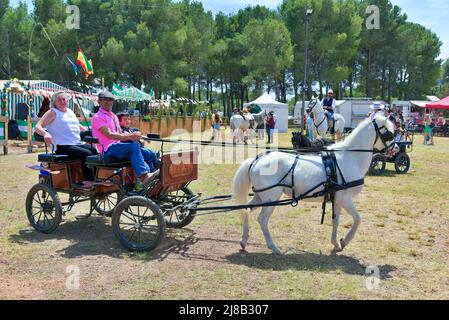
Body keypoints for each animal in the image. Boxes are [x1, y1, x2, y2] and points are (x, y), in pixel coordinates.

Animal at [233, 116, 394, 254]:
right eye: (389, 133)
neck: (350, 158)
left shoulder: (337, 199)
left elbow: (336, 221)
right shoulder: (345, 198)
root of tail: (256, 160)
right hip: (271, 197)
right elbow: (358, 218)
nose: (395, 148)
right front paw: (345, 241)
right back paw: (273, 247)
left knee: (246, 210)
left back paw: (244, 240)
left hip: (260, 196)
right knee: (262, 219)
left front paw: (336, 243)